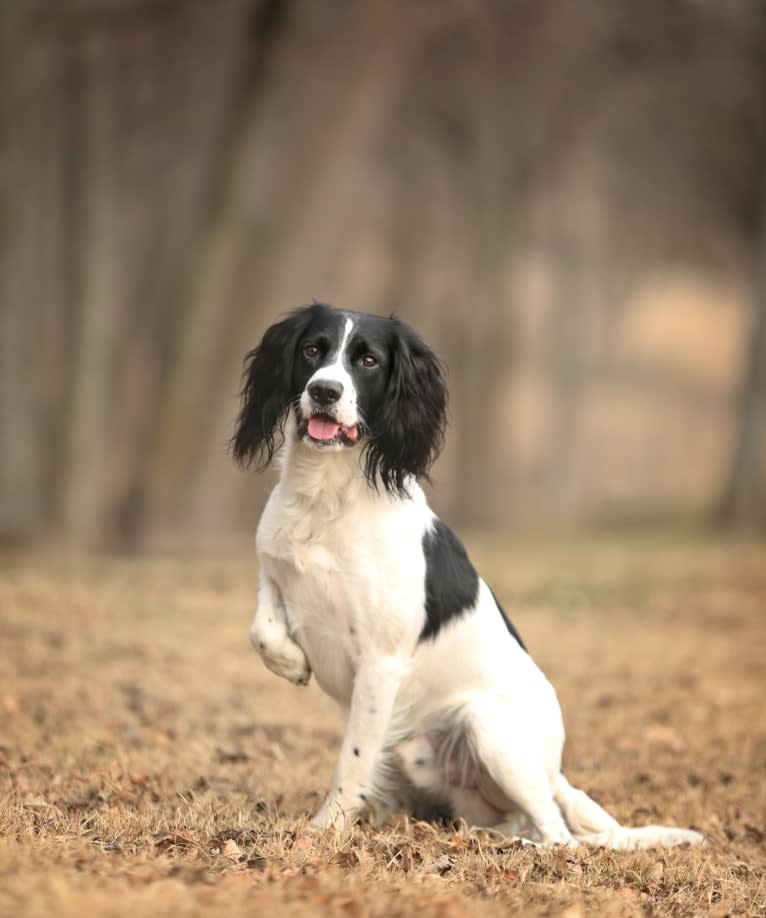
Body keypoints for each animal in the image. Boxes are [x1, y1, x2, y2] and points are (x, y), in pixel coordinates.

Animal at [234, 306, 708, 852]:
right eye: (313, 349)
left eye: (368, 361)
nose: (325, 391)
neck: (327, 499)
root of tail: (554, 772)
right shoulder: (275, 572)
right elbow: (263, 629)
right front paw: (293, 664)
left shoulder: (381, 661)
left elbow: (352, 762)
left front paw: (324, 829)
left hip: (486, 727)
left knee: (557, 835)